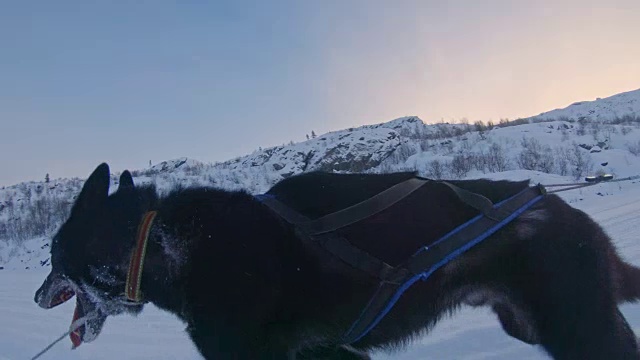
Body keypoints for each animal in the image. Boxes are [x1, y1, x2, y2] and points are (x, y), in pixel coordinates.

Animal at [33, 164, 640, 360]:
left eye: (53, 258)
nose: (37, 296)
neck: (158, 244)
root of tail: (566, 211)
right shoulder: (329, 353)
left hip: (578, 331)